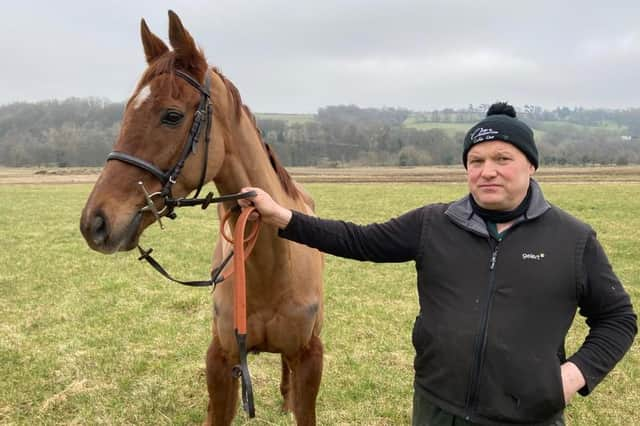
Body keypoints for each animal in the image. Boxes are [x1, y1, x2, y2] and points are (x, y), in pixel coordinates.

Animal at [79, 10, 324, 426]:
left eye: (172, 115)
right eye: (127, 112)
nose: (95, 223)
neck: (271, 270)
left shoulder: (310, 358)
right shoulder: (221, 361)